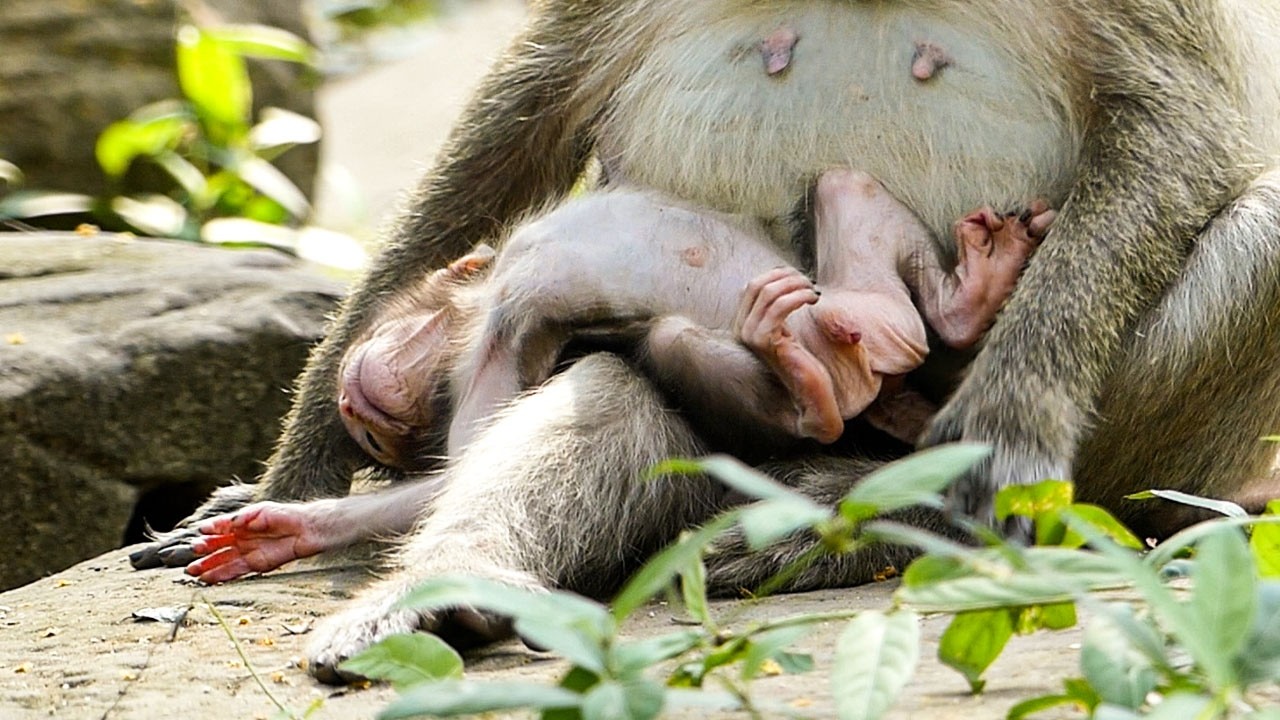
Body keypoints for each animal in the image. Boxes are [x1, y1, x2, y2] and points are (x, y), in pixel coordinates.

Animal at [129, 0, 1280, 686]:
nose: (359, 414)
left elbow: (1177, 121)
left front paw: (1009, 417)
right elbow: (523, 111)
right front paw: (293, 480)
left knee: (1260, 229)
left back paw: (888, 511)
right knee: (620, 385)